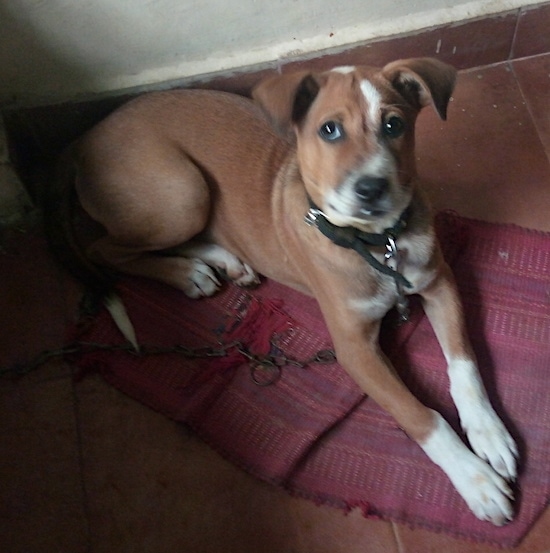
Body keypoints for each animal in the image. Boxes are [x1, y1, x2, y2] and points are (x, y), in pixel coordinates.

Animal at [46, 58, 516, 524]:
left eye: (394, 125)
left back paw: (224, 261)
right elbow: (419, 414)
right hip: (183, 193)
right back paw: (187, 274)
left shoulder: (441, 282)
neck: (378, 243)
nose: (371, 189)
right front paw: (475, 479)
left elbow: (465, 364)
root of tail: (85, 138)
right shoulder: (355, 348)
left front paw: (489, 433)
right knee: (104, 248)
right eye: (329, 130)